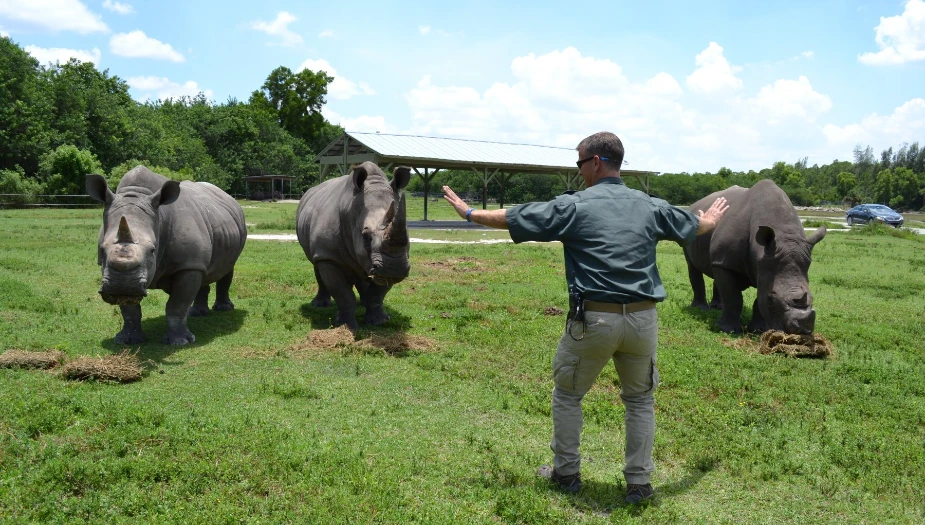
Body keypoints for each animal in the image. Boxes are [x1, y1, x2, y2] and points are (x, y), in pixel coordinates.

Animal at [85, 165, 245, 344]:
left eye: (152, 250)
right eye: (102, 249)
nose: (123, 284)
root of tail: (229, 197)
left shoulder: (187, 265)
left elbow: (177, 304)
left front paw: (180, 342)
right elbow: (129, 310)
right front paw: (128, 340)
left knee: (227, 267)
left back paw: (223, 309)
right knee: (204, 269)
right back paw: (197, 314)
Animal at [298, 162, 410, 330]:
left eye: (408, 236)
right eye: (365, 236)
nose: (394, 268)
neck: (350, 211)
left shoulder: (382, 268)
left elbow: (377, 294)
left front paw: (379, 322)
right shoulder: (328, 256)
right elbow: (342, 293)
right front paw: (345, 326)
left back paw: (363, 303)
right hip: (319, 250)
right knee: (316, 264)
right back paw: (319, 305)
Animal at [684, 178, 828, 334]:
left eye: (812, 298)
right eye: (771, 299)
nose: (802, 330)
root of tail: (694, 205)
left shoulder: (764, 264)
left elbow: (758, 300)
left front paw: (759, 330)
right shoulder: (737, 262)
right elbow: (733, 297)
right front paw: (727, 330)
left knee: (715, 267)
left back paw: (717, 308)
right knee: (694, 267)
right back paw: (700, 308)